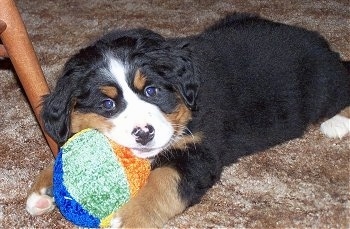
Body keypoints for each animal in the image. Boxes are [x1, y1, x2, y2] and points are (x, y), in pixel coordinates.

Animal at [26, 13, 348, 227]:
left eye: (152, 91)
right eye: (107, 104)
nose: (144, 133)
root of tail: (318, 42)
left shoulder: (199, 152)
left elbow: (162, 182)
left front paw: (126, 218)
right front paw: (43, 189)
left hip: (320, 85)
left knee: (342, 80)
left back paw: (337, 122)